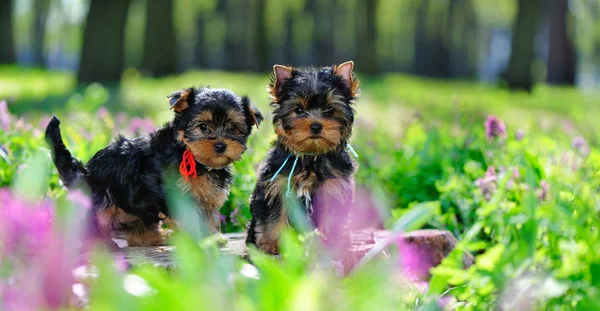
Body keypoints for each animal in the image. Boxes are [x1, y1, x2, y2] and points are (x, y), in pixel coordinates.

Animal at [45, 86, 262, 247]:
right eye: (203, 127)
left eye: (233, 128)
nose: (220, 145)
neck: (191, 156)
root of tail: (85, 174)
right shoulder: (171, 194)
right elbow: (187, 217)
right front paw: (199, 240)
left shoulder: (207, 196)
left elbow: (208, 217)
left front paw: (212, 237)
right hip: (103, 200)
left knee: (138, 234)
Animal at [246, 61, 358, 256]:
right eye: (298, 110)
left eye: (329, 109)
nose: (316, 126)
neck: (310, 156)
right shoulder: (278, 187)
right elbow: (274, 218)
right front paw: (273, 244)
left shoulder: (332, 188)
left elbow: (330, 219)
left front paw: (328, 243)